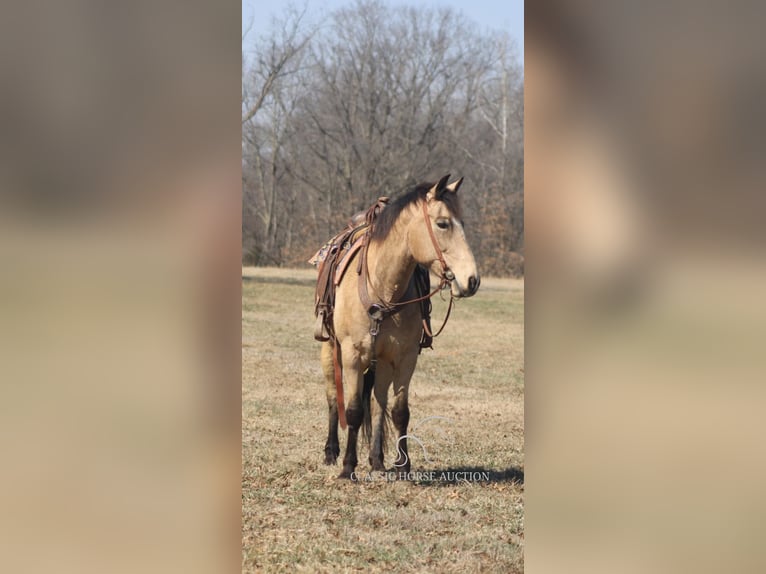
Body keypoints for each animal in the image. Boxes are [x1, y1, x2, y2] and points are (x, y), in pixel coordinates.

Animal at [312, 176, 480, 482]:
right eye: (442, 223)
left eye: (462, 222)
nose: (472, 280)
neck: (382, 288)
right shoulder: (352, 355)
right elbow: (353, 411)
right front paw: (347, 467)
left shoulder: (404, 357)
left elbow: (399, 411)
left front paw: (403, 466)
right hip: (330, 349)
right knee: (332, 397)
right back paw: (331, 452)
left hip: (382, 362)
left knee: (378, 403)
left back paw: (377, 460)